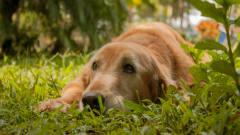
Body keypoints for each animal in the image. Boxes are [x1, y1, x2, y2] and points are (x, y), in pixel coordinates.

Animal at [38, 22, 195, 112]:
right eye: (95, 65)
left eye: (129, 68)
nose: (91, 100)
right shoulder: (78, 80)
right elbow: (73, 90)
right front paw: (54, 104)